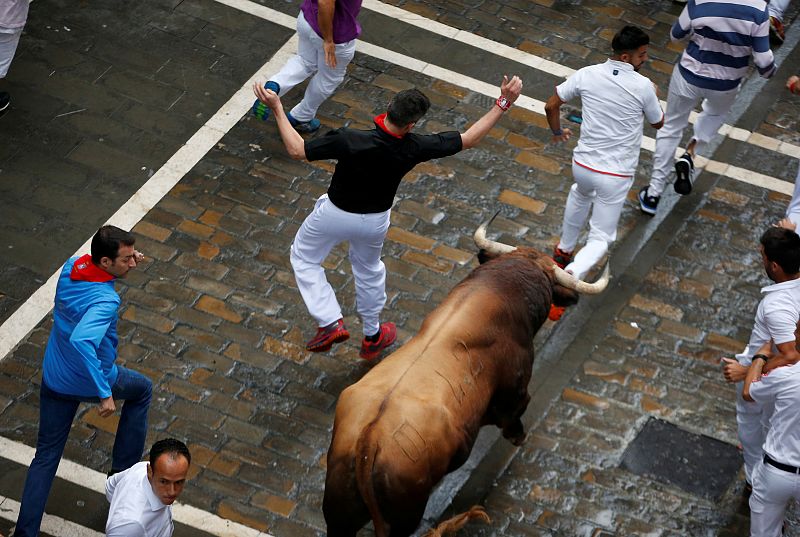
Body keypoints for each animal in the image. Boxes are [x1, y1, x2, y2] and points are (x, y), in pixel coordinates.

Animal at [322, 217, 608, 536]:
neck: (498, 291)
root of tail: (368, 439)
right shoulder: (515, 392)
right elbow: (515, 415)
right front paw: (518, 437)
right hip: (404, 516)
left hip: (339, 513)